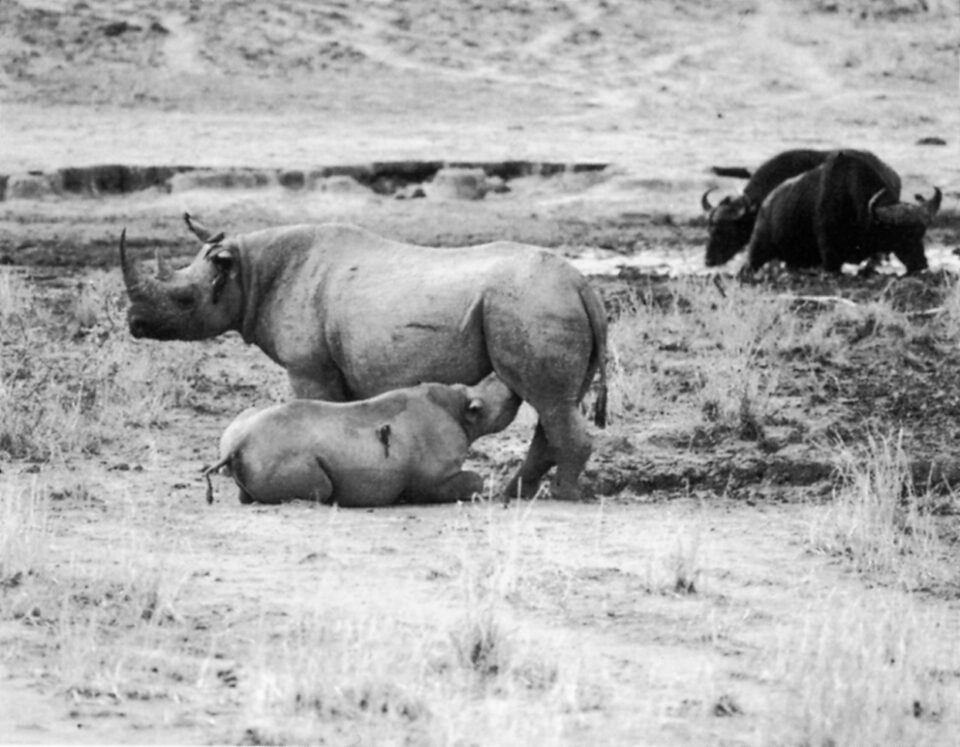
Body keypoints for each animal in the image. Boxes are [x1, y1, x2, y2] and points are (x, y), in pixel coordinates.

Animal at [203, 372, 520, 507]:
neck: (462, 410)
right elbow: (474, 480)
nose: (512, 384)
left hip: (242, 430)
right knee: (321, 488)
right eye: (506, 401)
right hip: (276, 454)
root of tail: (237, 446)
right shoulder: (432, 481)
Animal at [744, 150, 941, 273]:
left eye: (921, 233)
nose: (921, 264)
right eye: (900, 234)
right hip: (757, 251)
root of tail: (766, 203)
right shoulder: (830, 258)